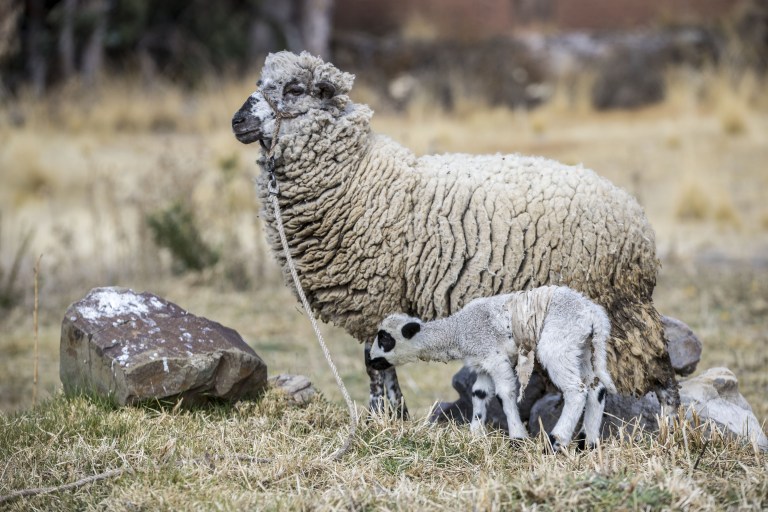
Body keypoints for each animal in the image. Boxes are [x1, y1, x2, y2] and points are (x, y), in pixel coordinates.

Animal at [231, 51, 679, 417]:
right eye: (259, 81)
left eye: (294, 89)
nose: (237, 121)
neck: (358, 175)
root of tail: (637, 219)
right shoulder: (382, 300)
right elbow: (383, 361)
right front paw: (397, 416)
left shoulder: (375, 293)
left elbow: (373, 363)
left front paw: (379, 419)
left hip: (615, 307)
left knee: (658, 371)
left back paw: (669, 430)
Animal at [368, 286, 616, 450]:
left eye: (385, 339)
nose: (370, 360)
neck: (458, 331)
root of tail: (594, 315)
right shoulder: (482, 363)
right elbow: (479, 393)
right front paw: (476, 433)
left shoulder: (495, 358)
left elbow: (505, 394)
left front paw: (518, 437)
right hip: (583, 349)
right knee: (596, 388)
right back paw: (588, 444)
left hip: (558, 345)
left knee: (576, 391)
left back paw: (556, 442)